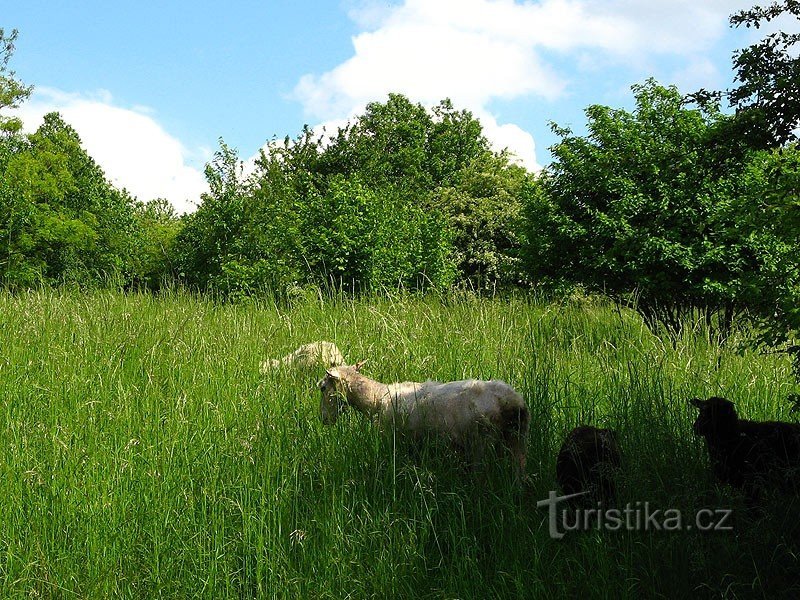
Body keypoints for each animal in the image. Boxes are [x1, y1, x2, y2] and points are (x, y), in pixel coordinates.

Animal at [318, 360, 532, 482]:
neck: (377, 398)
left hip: (482, 442)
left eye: (322, 387)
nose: (324, 419)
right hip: (517, 438)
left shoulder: (394, 439)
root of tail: (512, 401)